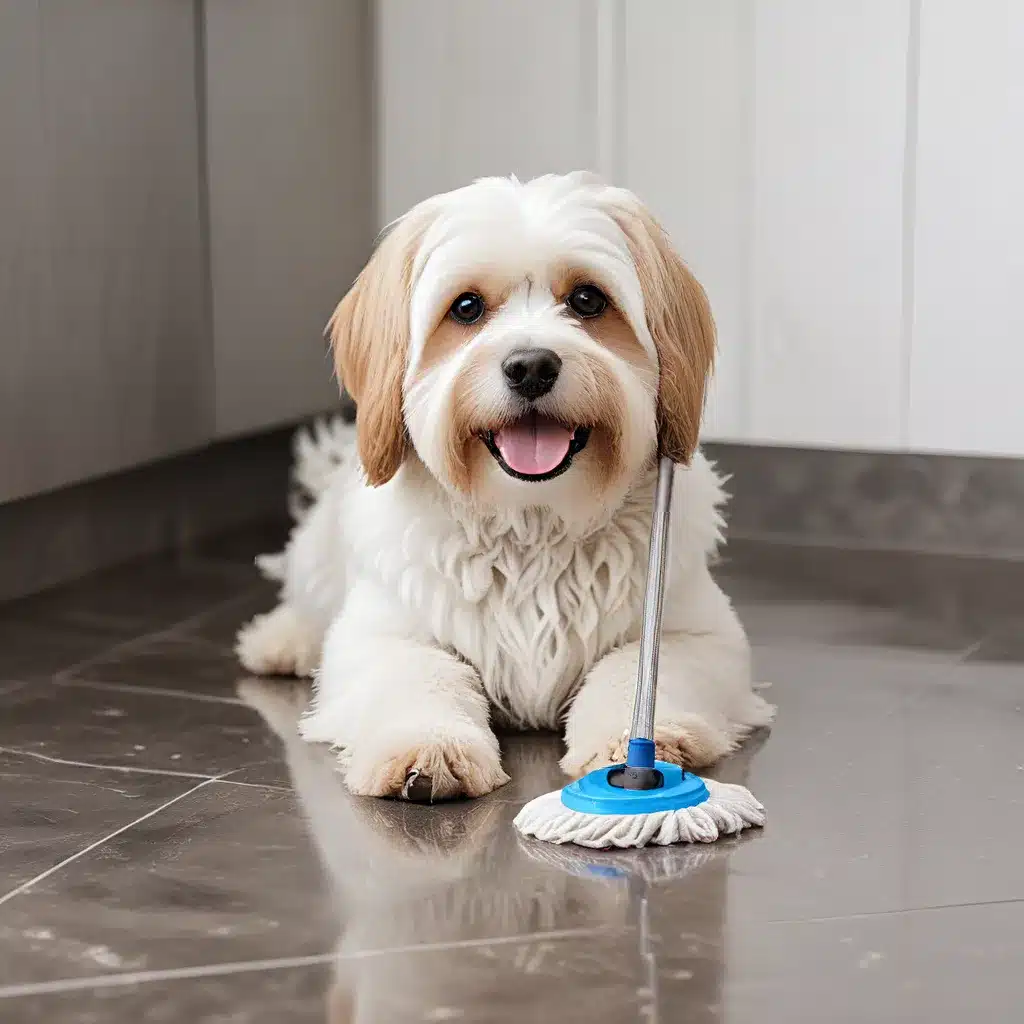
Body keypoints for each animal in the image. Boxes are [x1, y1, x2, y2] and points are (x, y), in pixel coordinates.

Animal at [235, 169, 770, 798]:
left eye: (588, 299)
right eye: (466, 307)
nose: (531, 366)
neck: (531, 520)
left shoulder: (693, 632)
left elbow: (635, 674)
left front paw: (642, 744)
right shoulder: (385, 633)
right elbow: (419, 675)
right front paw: (428, 746)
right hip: (320, 554)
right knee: (305, 594)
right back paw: (282, 640)